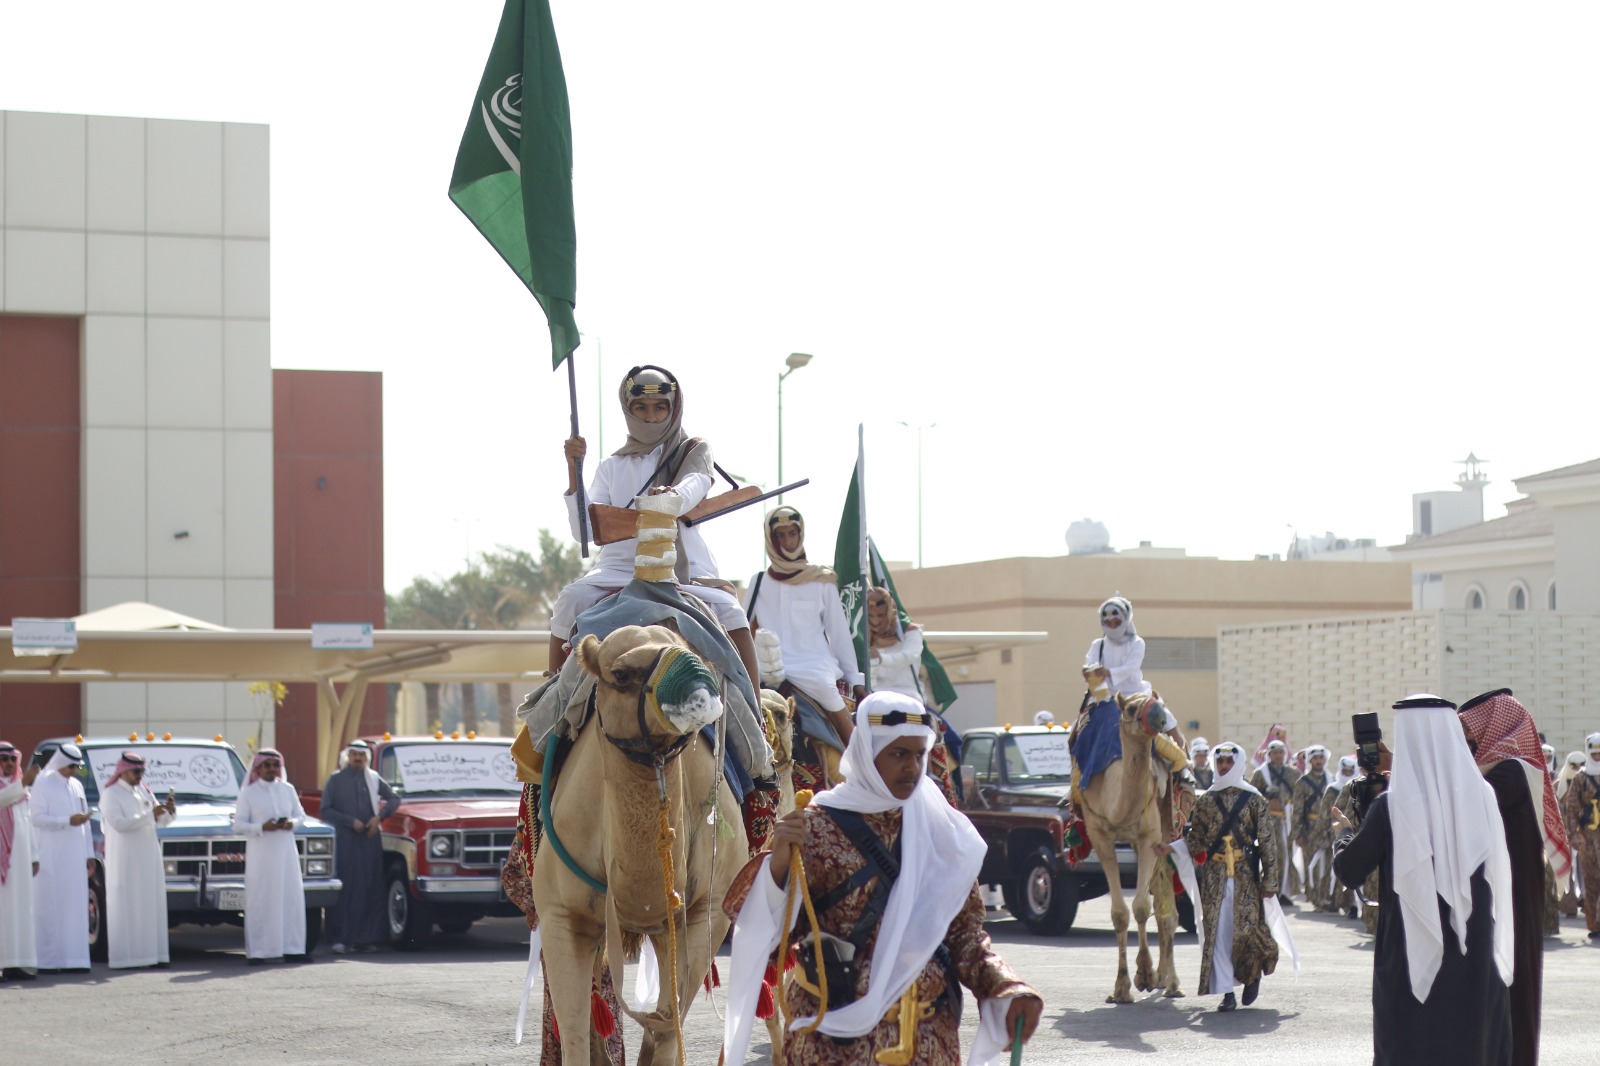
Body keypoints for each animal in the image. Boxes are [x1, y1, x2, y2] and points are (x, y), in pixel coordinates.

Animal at [528, 624, 745, 1062]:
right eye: (622, 673)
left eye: (692, 650)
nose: (701, 692)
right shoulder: (561, 913)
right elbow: (575, 1033)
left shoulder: (705, 911)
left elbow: (666, 1029)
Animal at [1068, 669, 1184, 998]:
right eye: (1132, 709)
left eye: (1156, 703)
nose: (1160, 719)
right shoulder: (1100, 837)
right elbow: (1120, 913)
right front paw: (1121, 987)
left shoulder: (1149, 838)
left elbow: (1142, 907)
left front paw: (1143, 974)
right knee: (1162, 901)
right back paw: (1163, 978)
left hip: (1167, 832)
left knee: (1165, 907)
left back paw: (1170, 982)